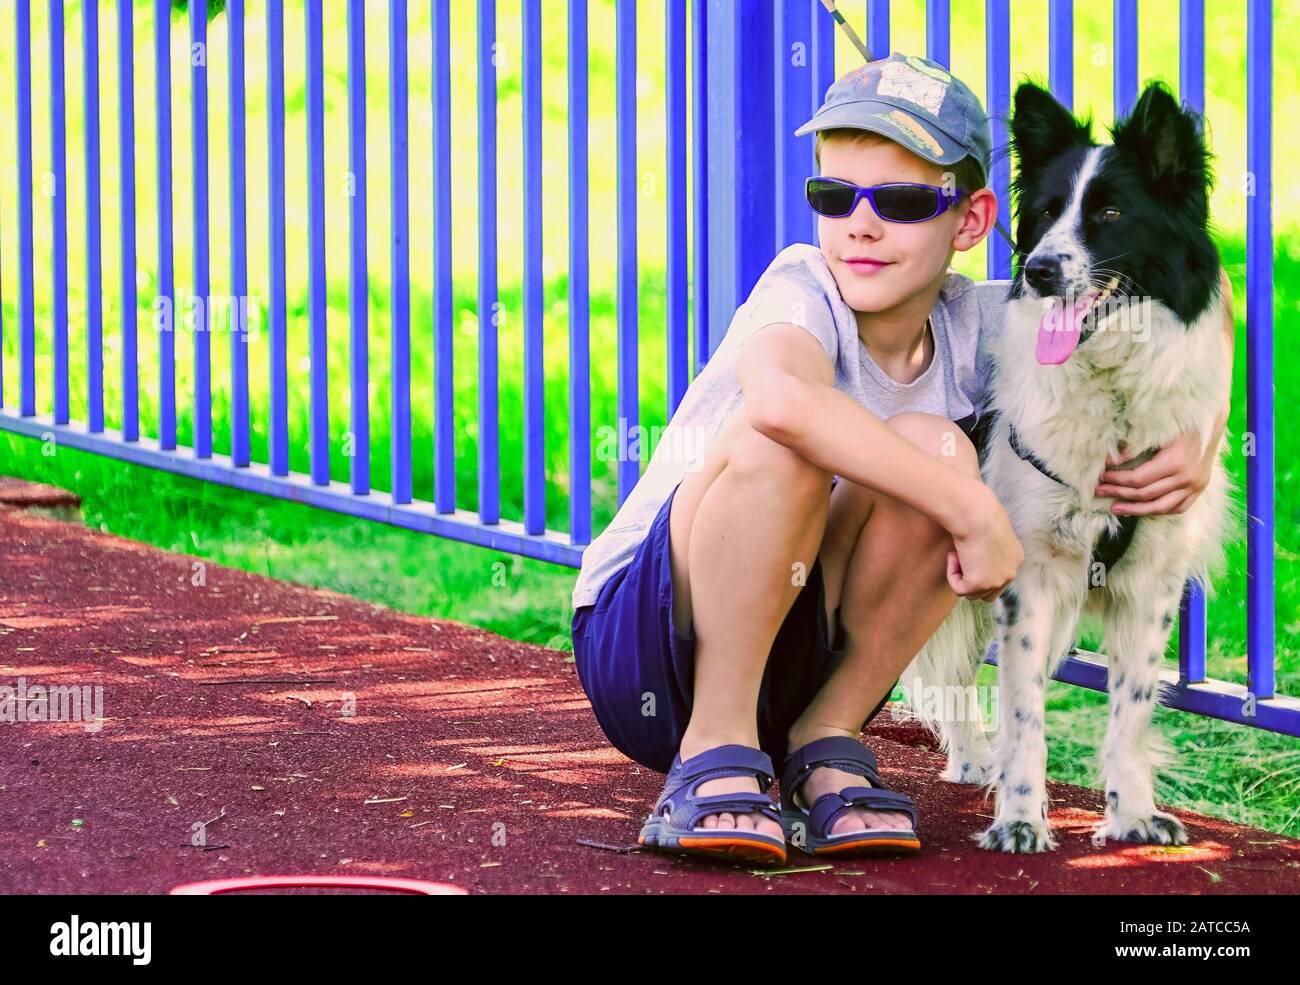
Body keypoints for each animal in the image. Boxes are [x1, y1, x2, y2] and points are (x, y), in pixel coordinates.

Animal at [899, 80, 1232, 852]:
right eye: (1048, 212)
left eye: (1110, 213)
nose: (1038, 271)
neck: (1113, 395)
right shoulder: (1032, 578)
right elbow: (1025, 713)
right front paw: (1020, 817)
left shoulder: (1150, 585)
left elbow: (1130, 709)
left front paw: (1131, 812)